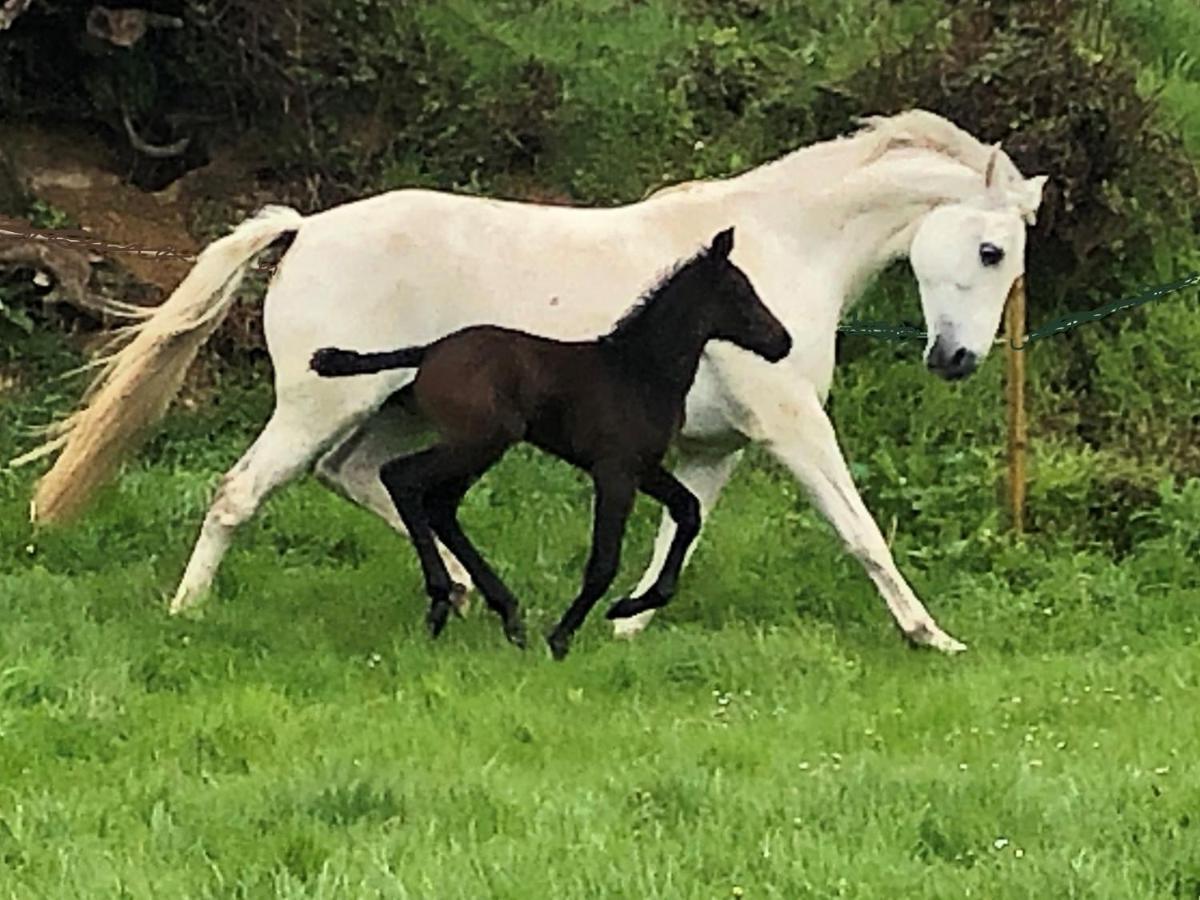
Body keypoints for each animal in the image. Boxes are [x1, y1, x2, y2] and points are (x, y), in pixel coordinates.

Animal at [314, 229, 792, 657]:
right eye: (740, 291)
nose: (782, 342)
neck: (640, 371)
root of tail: (428, 352)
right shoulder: (615, 470)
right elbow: (603, 562)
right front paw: (563, 636)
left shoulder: (643, 467)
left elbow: (688, 511)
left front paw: (629, 606)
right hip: (479, 441)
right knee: (402, 478)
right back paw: (442, 601)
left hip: (478, 447)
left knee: (440, 505)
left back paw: (505, 614)